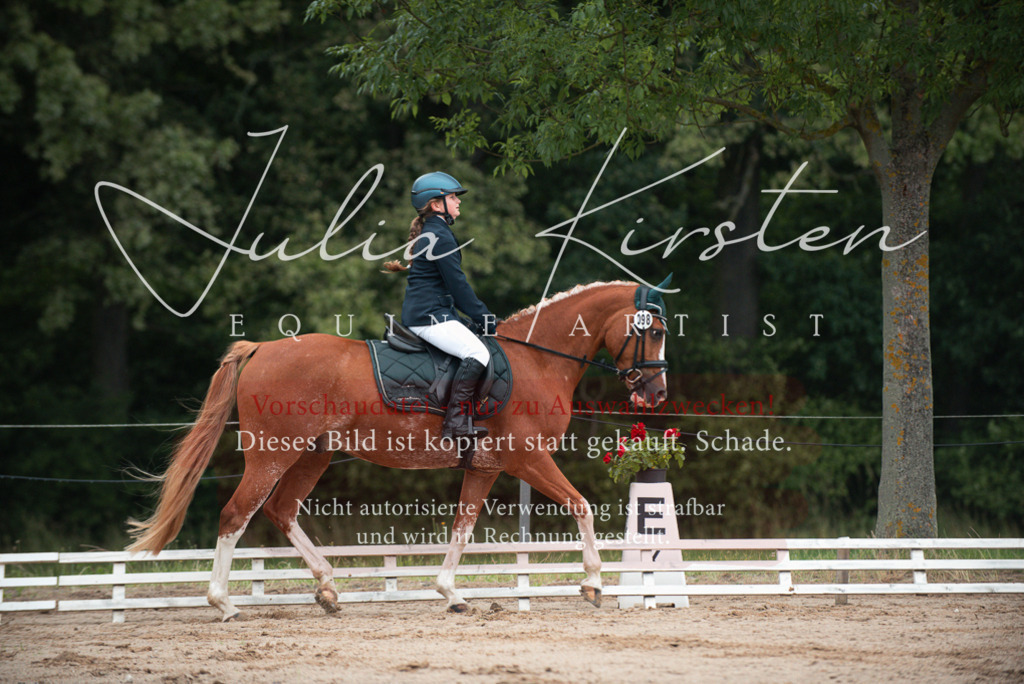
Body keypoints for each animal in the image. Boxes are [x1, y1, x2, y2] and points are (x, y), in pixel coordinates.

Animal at [126, 280, 671, 620]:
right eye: (655, 331)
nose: (657, 394)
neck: (537, 360)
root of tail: (261, 347)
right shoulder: (528, 457)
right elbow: (581, 505)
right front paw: (594, 583)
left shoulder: (487, 466)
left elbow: (462, 527)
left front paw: (451, 593)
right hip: (272, 453)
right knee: (236, 514)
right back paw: (224, 603)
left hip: (313, 453)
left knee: (281, 511)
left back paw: (327, 588)